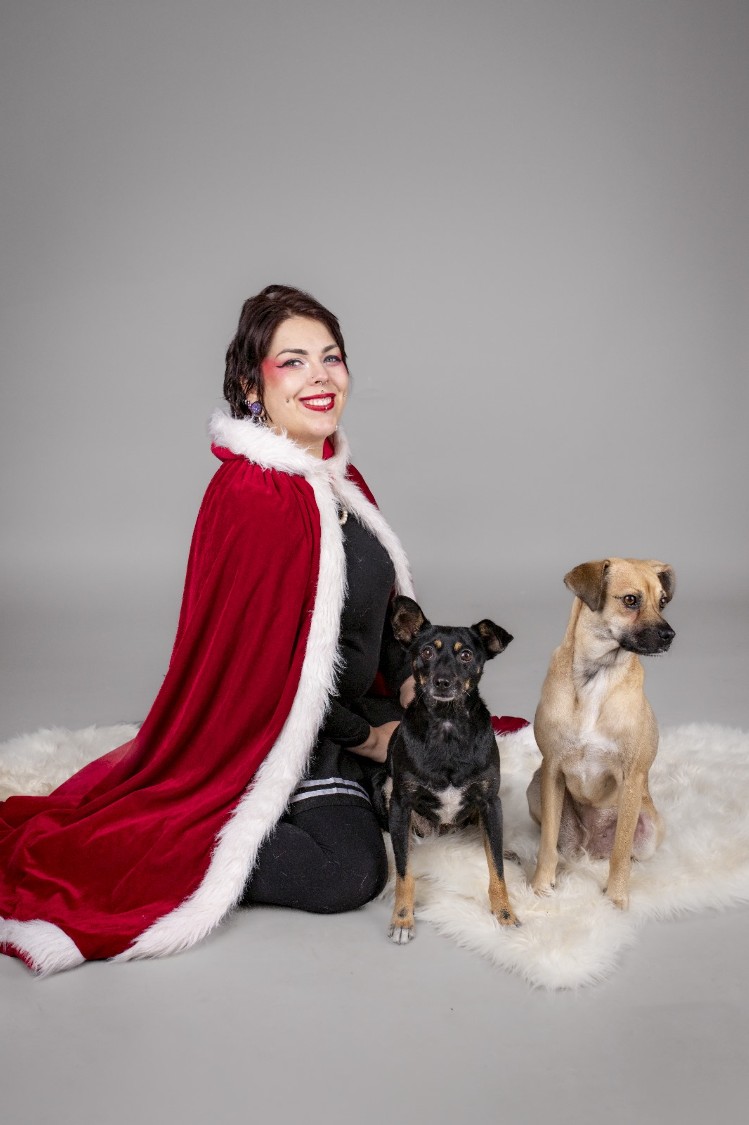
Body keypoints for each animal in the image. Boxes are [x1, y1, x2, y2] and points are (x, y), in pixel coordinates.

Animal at [385, 595, 519, 944]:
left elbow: (496, 868)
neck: (446, 727)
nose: (443, 682)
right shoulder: (400, 804)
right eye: (426, 652)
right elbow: (404, 872)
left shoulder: (490, 802)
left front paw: (505, 913)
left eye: (466, 654)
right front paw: (402, 919)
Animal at [527, 558, 675, 910]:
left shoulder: (631, 777)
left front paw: (616, 897)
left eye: (663, 602)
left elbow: (621, 852)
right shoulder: (552, 769)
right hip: (536, 788)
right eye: (630, 600)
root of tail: (593, 849)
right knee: (558, 846)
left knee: (625, 852)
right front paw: (541, 886)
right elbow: (547, 844)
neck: (597, 675)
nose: (669, 635)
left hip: (651, 827)